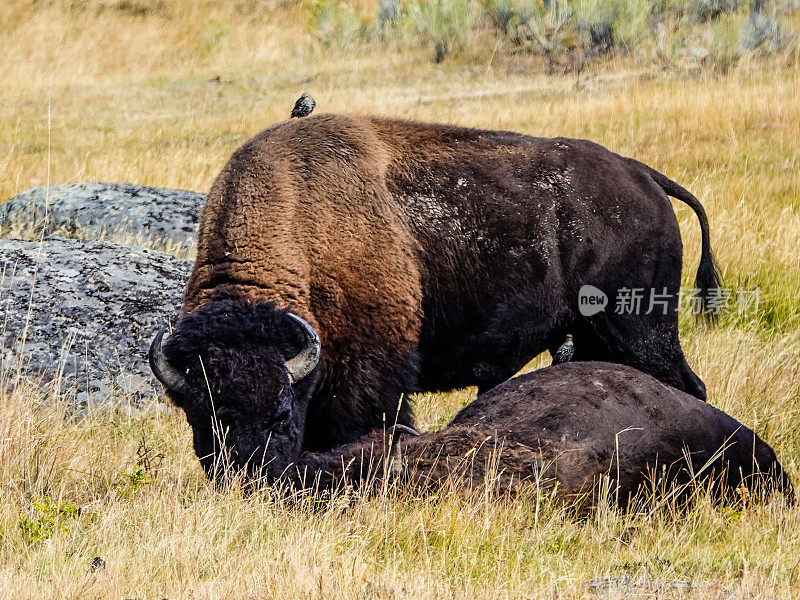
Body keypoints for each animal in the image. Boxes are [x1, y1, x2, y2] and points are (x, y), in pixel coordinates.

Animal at [148, 112, 720, 478]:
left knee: (686, 384)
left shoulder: (371, 376)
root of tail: (643, 176)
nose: (247, 481)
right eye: (201, 418)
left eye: (281, 414)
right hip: (598, 335)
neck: (305, 219)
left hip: (641, 327)